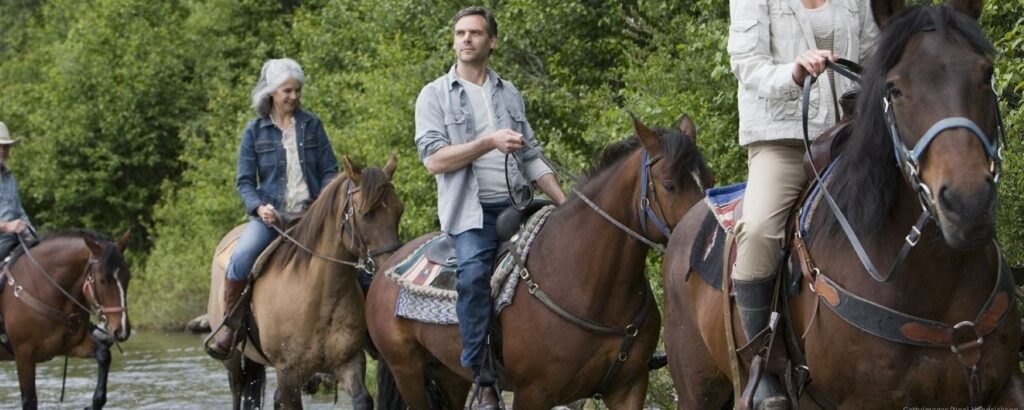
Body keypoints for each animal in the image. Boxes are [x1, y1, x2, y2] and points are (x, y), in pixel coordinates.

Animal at [0, 230, 132, 410]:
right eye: (102, 280)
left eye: (128, 277)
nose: (122, 330)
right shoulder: (24, 355)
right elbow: (30, 401)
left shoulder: (70, 346)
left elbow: (104, 354)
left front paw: (95, 403)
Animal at [205, 155, 401, 407]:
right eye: (366, 213)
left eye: (399, 211)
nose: (391, 264)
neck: (320, 296)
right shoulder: (288, 373)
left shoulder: (349, 363)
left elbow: (362, 398)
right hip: (232, 358)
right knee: (237, 390)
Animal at [366, 115, 712, 410]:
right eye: (670, 185)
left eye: (708, 180)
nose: (700, 230)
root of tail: (386, 269)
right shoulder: (534, 393)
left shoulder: (629, 388)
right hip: (407, 370)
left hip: (449, 373)